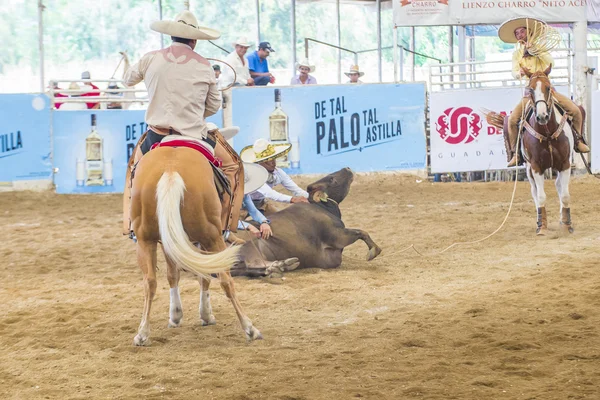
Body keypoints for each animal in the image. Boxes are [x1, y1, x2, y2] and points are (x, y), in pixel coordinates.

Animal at [130, 145, 262, 346]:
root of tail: (170, 170)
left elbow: (173, 275)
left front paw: (176, 315)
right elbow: (204, 276)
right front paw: (204, 315)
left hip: (146, 240)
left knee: (150, 282)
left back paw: (142, 333)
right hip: (212, 237)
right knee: (226, 280)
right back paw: (249, 328)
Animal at [490, 65, 576, 234]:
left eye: (548, 87)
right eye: (530, 89)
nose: (542, 116)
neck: (547, 133)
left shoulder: (565, 163)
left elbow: (565, 195)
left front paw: (566, 224)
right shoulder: (536, 166)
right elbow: (541, 196)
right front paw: (542, 227)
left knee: (559, 186)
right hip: (529, 169)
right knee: (535, 192)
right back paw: (539, 221)